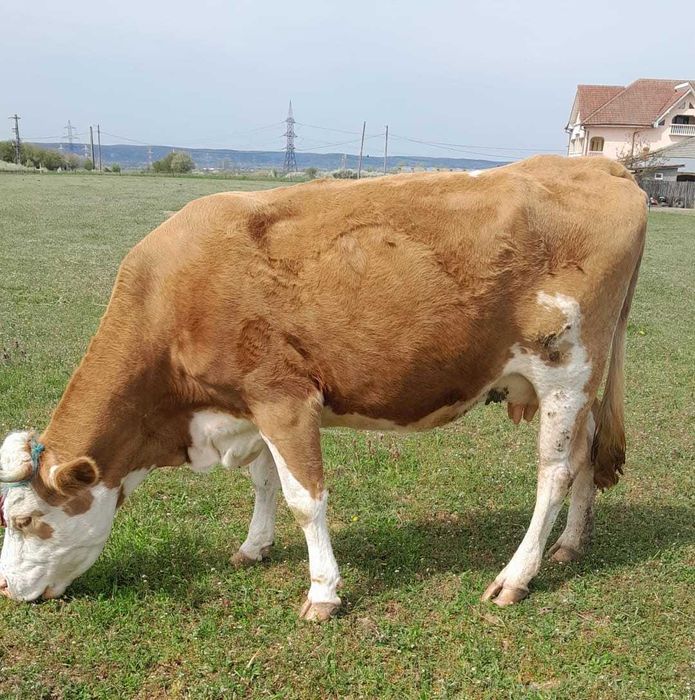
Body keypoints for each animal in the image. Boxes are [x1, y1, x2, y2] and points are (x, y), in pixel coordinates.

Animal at [0, 155, 646, 620]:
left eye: (26, 520)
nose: (7, 589)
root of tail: (599, 166)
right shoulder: (248, 403)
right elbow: (263, 481)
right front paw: (255, 546)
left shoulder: (284, 398)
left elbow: (304, 499)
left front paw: (323, 593)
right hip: (583, 382)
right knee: (587, 452)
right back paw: (572, 544)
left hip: (566, 368)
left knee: (554, 472)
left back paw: (516, 576)